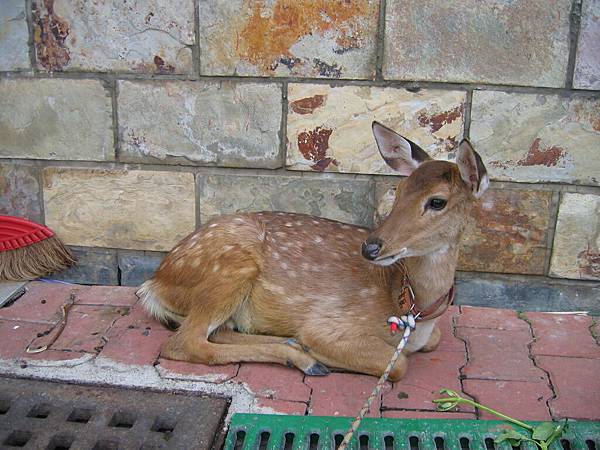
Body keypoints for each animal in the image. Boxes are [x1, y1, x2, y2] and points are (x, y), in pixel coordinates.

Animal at [137, 122, 488, 380]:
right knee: (186, 342)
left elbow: (435, 340)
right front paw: (316, 351)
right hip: (229, 267)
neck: (414, 312)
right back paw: (305, 357)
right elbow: (398, 364)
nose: (371, 246)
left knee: (218, 332)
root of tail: (155, 284)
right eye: (398, 190)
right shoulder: (329, 323)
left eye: (437, 201)